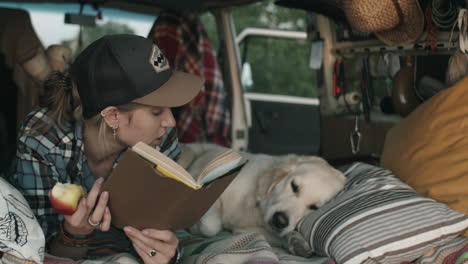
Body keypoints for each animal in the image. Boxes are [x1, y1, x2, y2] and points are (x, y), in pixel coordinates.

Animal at [177, 142, 346, 256]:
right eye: (294, 186)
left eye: (314, 207)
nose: (280, 220)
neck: (255, 205)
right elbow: (211, 225)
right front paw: (194, 225)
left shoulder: (246, 230)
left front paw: (296, 241)